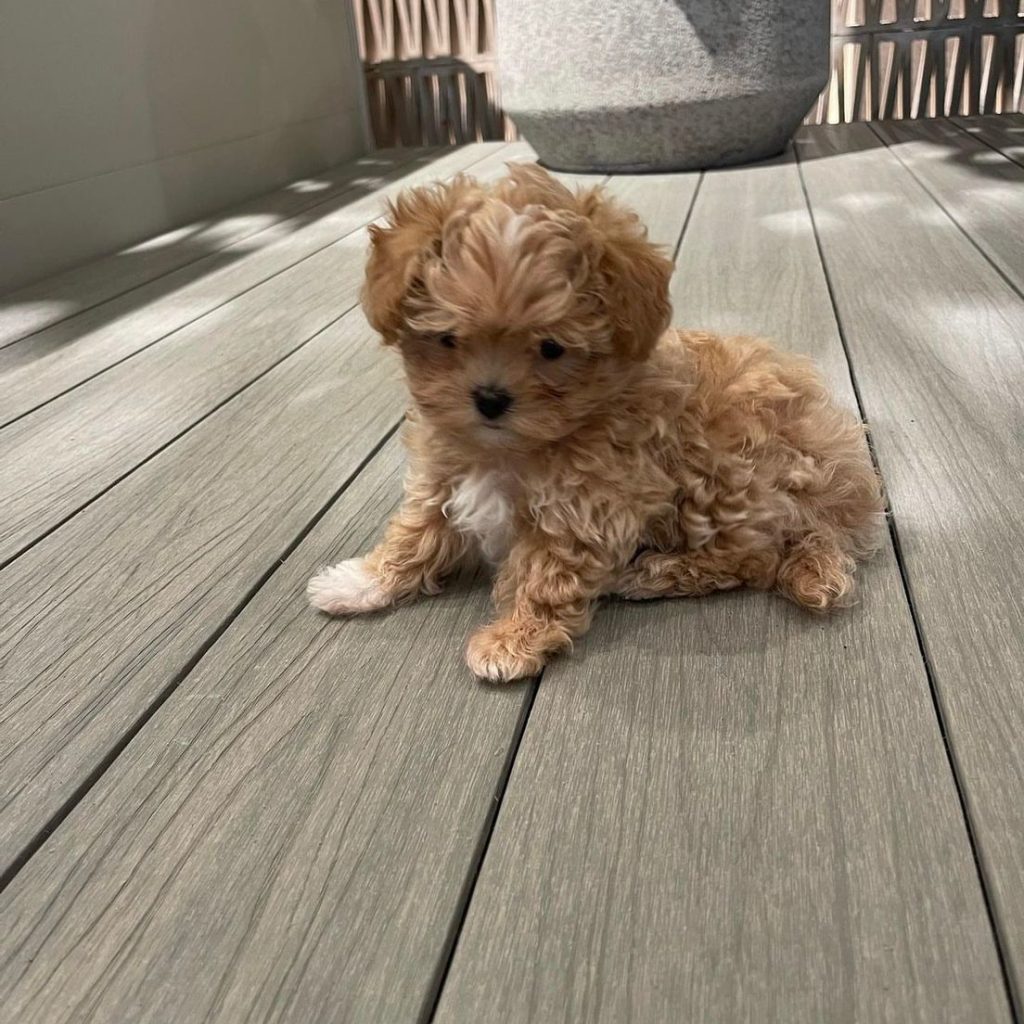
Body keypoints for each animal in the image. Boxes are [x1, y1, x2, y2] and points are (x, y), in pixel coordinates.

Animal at [308, 164, 885, 682]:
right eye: (448, 339)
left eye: (551, 348)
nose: (490, 399)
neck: (509, 448)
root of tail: (844, 501)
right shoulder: (441, 476)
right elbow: (415, 533)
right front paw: (362, 581)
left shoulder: (587, 508)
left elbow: (546, 577)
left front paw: (512, 640)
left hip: (729, 476)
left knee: (754, 559)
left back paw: (654, 573)